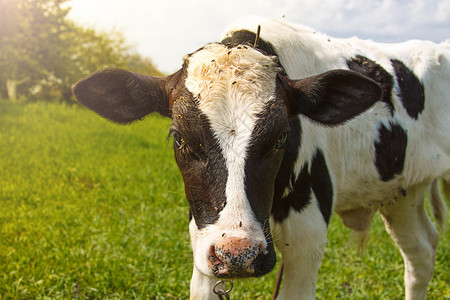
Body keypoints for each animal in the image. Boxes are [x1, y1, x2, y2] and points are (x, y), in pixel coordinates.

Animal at [72, 17, 448, 300]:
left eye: (282, 135)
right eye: (179, 137)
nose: (238, 254)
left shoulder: (307, 237)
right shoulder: (204, 239)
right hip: (400, 192)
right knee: (420, 253)